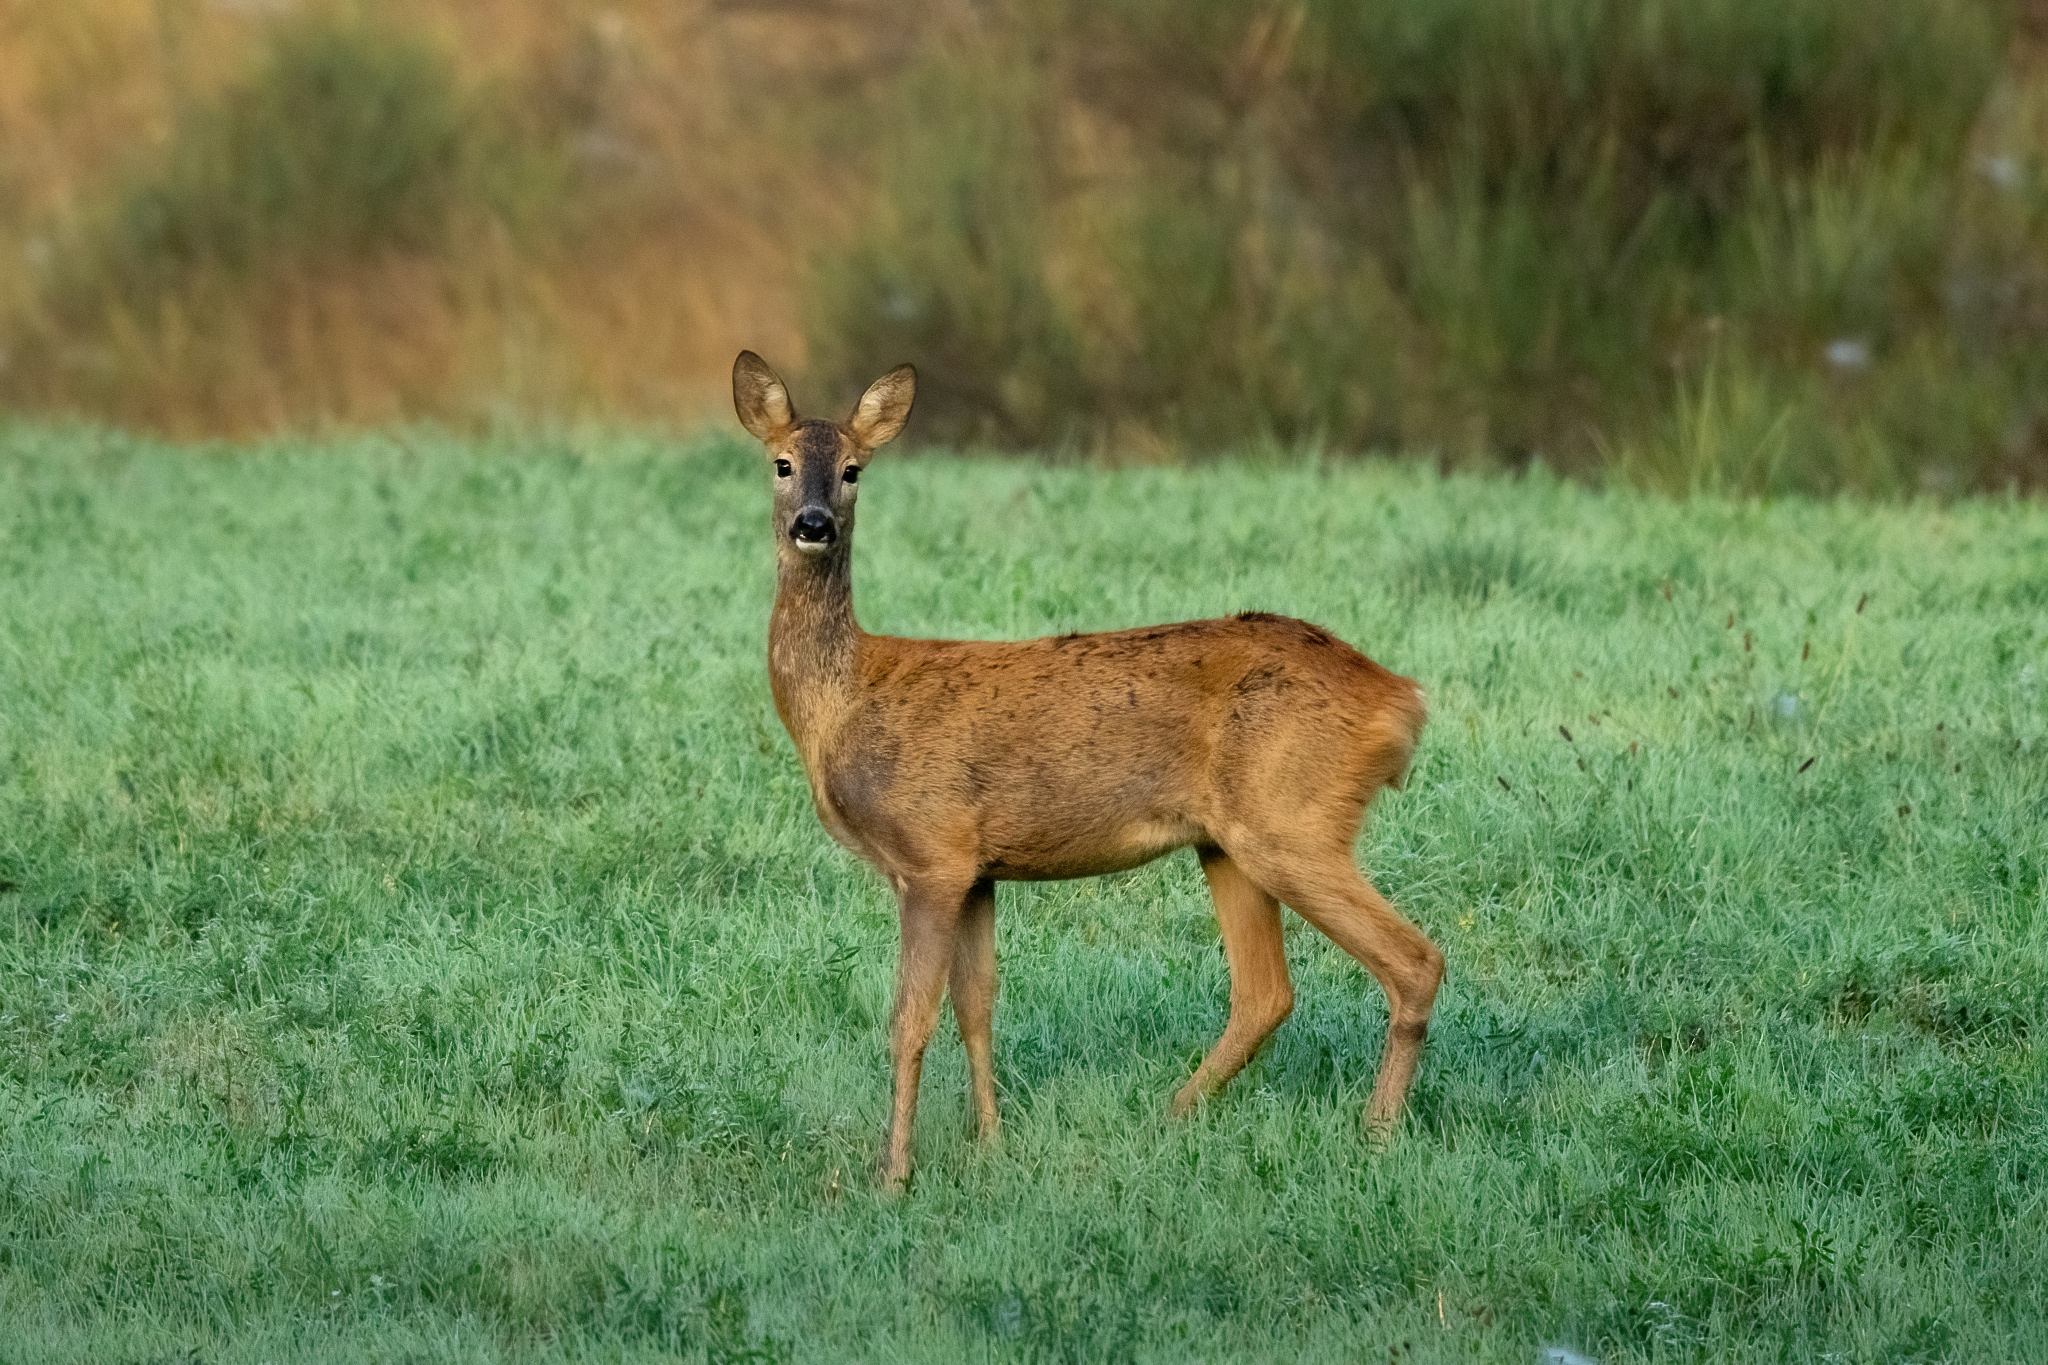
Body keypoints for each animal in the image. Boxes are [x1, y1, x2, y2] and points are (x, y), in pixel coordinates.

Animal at [733, 350, 1444, 1192]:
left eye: (852, 469)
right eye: (781, 463)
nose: (813, 524)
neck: (842, 701)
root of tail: (1400, 698)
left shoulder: (930, 853)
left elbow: (911, 1020)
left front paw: (893, 1176)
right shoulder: (977, 869)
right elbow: (978, 1007)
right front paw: (992, 1146)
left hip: (1294, 818)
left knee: (1414, 959)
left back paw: (1376, 1131)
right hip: (1227, 841)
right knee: (1266, 991)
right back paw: (1172, 1117)